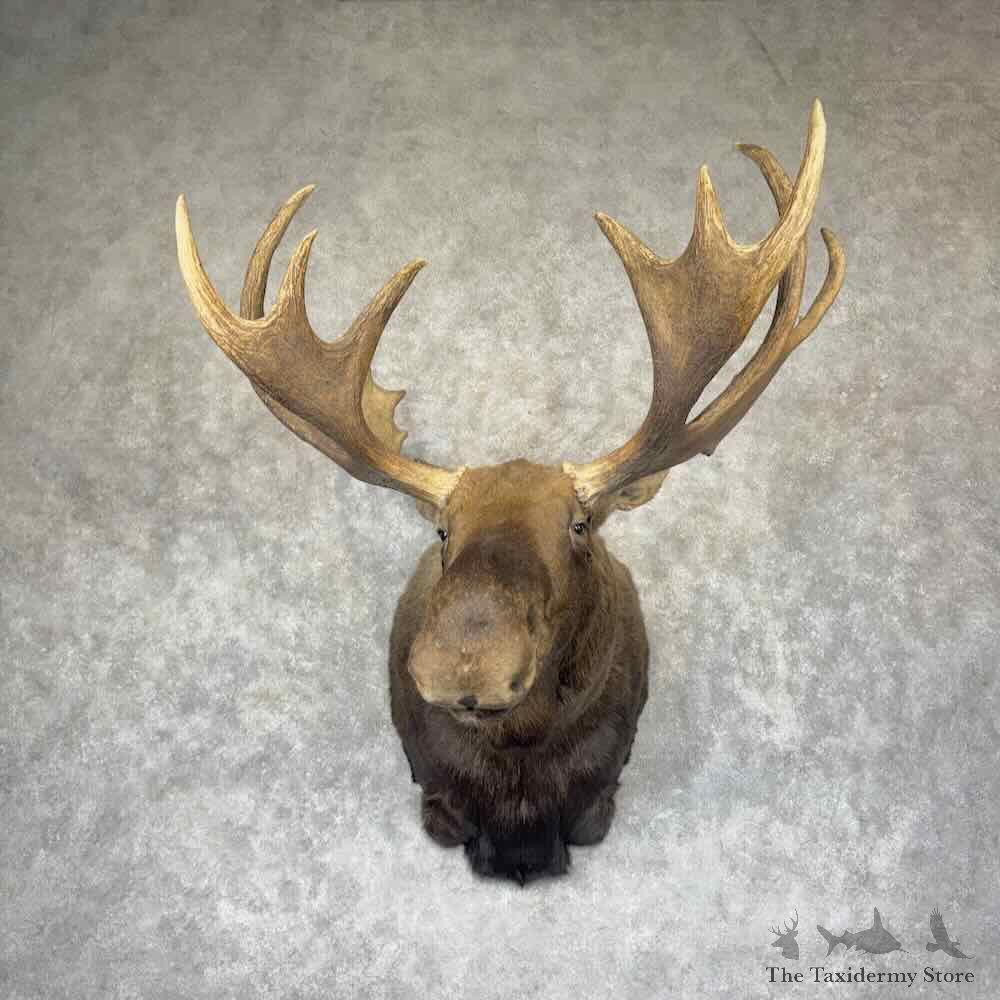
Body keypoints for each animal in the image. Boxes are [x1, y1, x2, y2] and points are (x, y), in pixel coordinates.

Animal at [175, 100, 844, 882]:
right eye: (442, 531)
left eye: (580, 525)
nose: (466, 665)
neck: (519, 785)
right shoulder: (437, 793)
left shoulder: (598, 793)